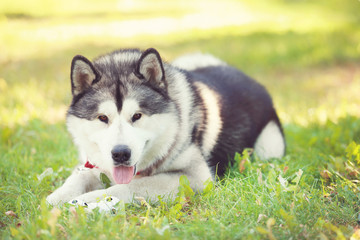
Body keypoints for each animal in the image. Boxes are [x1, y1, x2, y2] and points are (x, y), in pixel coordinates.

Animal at [46, 47, 286, 205]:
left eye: (137, 116)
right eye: (103, 118)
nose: (121, 154)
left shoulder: (197, 177)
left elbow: (130, 185)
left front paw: (86, 200)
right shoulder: (92, 164)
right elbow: (77, 178)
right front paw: (53, 200)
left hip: (269, 148)